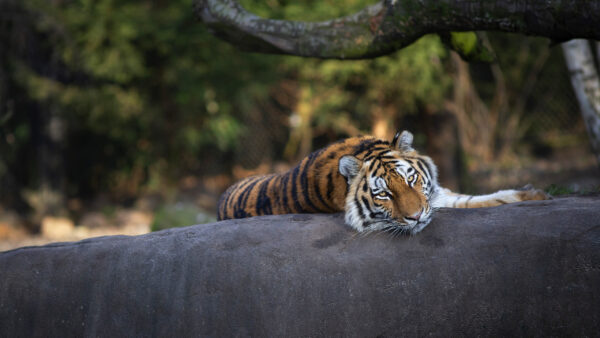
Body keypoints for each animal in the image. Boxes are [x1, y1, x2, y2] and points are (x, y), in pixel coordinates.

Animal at [218, 131, 552, 234]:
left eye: (411, 179)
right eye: (384, 195)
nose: (416, 217)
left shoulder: (436, 195)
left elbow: (474, 199)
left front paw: (534, 195)